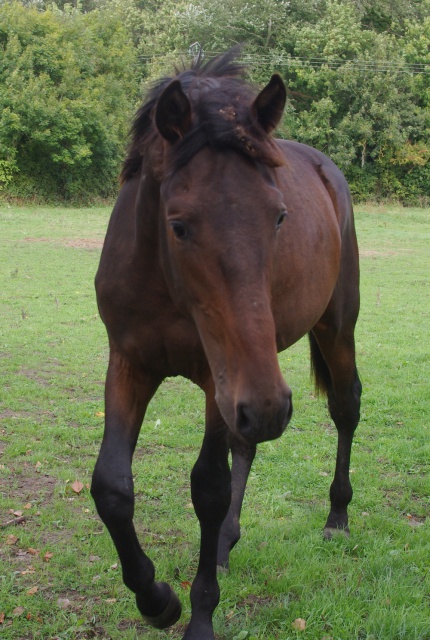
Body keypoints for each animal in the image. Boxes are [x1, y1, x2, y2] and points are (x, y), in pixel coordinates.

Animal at [91, 50, 362, 640]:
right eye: (178, 225)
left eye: (279, 215)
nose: (269, 408)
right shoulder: (129, 362)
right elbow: (112, 488)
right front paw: (157, 600)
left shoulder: (221, 376)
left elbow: (208, 488)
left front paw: (198, 616)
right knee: (249, 443)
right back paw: (226, 543)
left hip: (332, 329)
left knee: (345, 406)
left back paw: (337, 517)